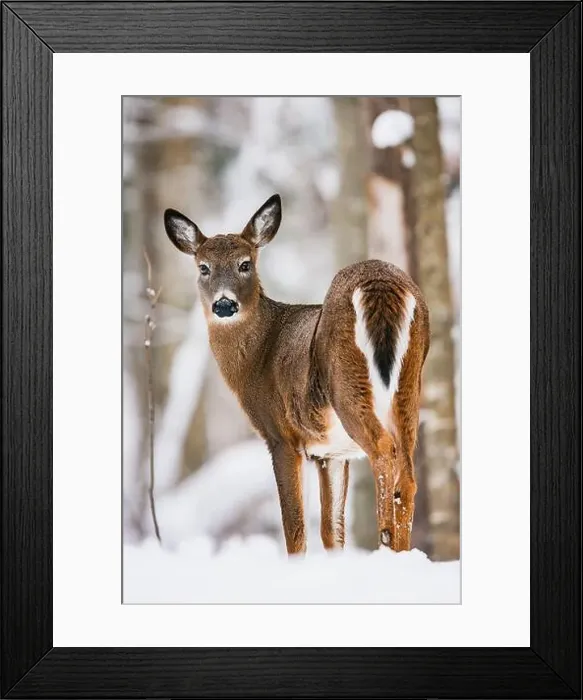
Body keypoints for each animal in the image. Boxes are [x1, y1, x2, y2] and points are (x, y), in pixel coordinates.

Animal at [164, 194, 430, 555]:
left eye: (245, 264)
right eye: (203, 267)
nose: (224, 304)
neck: (259, 356)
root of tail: (381, 284)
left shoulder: (280, 435)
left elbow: (295, 528)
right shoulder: (331, 452)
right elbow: (332, 530)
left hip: (348, 385)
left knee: (383, 450)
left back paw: (386, 542)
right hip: (409, 387)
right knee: (409, 478)